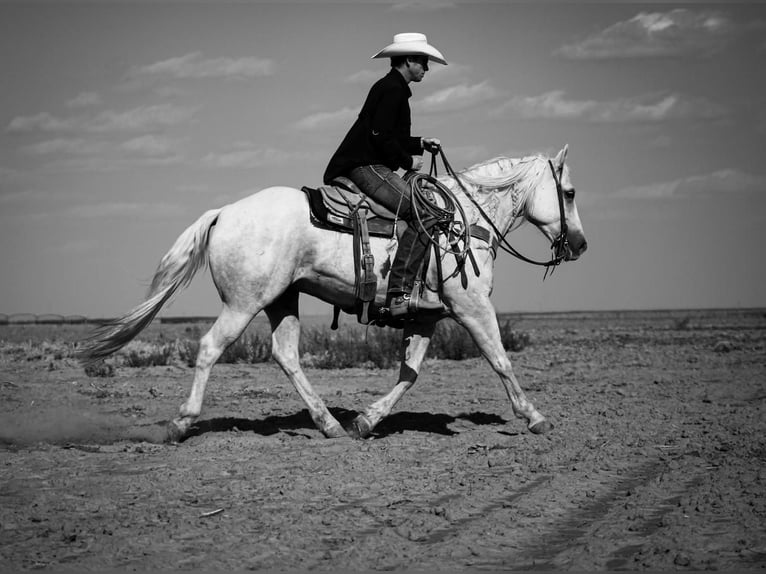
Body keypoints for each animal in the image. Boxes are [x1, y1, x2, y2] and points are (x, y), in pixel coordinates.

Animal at [79, 146, 588, 444]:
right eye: (568, 191)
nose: (580, 245)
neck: (463, 220)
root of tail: (224, 212)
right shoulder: (473, 307)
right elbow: (500, 359)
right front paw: (535, 417)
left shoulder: (426, 317)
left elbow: (409, 373)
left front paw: (367, 420)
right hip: (243, 304)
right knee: (209, 348)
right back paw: (181, 423)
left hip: (282, 301)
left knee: (286, 354)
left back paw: (329, 424)